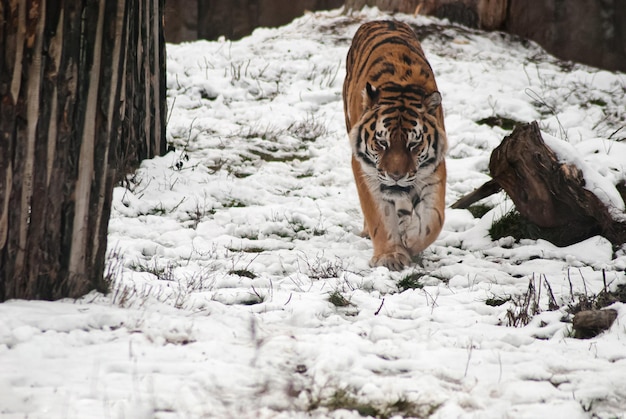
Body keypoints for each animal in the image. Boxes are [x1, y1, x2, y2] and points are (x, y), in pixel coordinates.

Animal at [344, 19, 446, 272]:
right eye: (382, 143)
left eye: (414, 144)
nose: (396, 176)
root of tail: (380, 19)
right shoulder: (365, 168)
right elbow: (379, 216)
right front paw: (389, 255)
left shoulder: (434, 167)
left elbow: (435, 217)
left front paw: (412, 238)